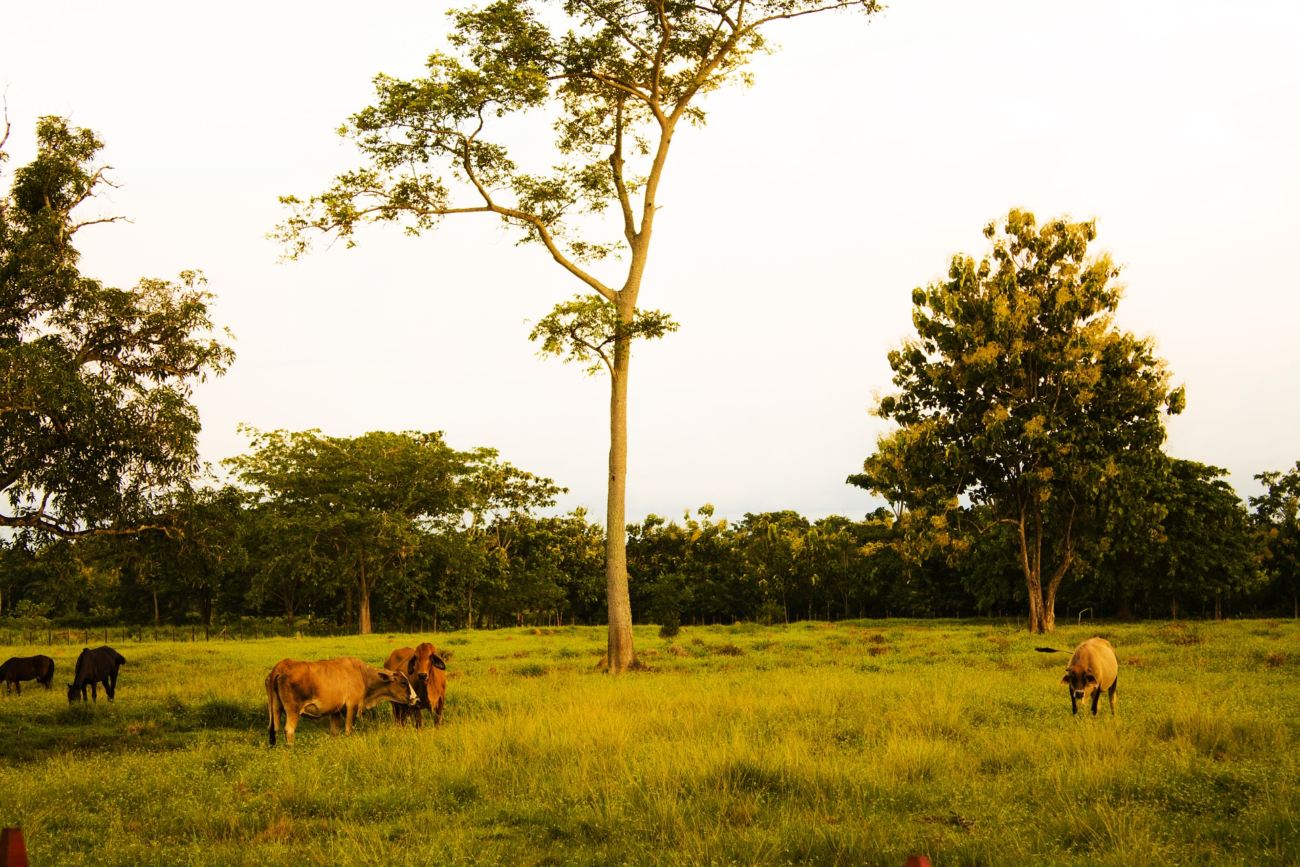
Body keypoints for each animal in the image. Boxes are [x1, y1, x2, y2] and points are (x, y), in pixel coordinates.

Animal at [266, 657, 418, 748]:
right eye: (403, 682)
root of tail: (282, 665)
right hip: (293, 710)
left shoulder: (335, 712)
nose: (416, 698)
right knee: (289, 730)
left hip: (275, 709)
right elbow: (348, 730)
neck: (362, 675)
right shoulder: (352, 707)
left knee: (273, 728)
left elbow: (335, 732)